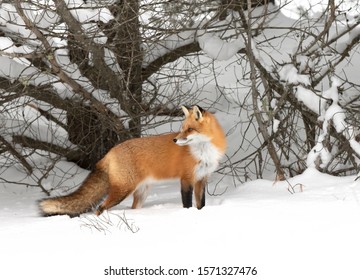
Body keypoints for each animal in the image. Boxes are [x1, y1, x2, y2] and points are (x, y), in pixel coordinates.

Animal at [38, 105, 225, 217]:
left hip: (141, 193)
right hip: (122, 190)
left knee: (131, 208)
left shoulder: (201, 179)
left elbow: (201, 204)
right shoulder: (186, 179)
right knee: (100, 208)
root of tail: (110, 152)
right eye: (182, 129)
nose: (175, 140)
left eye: (190, 129)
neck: (203, 152)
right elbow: (187, 204)